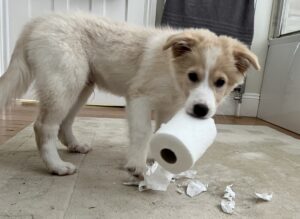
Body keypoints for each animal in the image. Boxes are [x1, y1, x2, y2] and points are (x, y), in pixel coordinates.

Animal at [0, 12, 258, 176]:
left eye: (220, 82)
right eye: (193, 76)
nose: (201, 110)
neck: (172, 72)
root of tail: (38, 21)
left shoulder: (169, 108)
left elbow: (161, 131)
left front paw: (158, 160)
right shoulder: (139, 98)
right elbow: (143, 132)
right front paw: (137, 164)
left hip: (81, 86)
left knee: (65, 123)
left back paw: (74, 145)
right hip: (65, 82)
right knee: (44, 126)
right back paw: (56, 166)